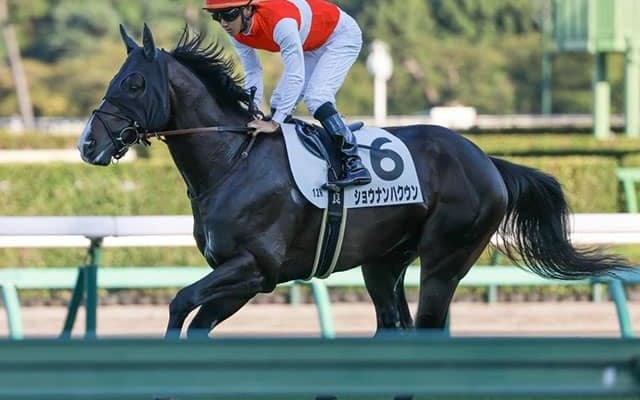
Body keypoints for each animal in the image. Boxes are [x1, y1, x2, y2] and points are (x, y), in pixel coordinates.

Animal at [78, 24, 630, 338]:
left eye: (133, 82)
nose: (87, 143)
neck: (233, 161)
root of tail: (487, 160)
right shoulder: (244, 279)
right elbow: (192, 320)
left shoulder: (255, 268)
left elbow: (179, 303)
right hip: (383, 264)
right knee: (392, 326)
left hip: (445, 260)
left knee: (426, 328)